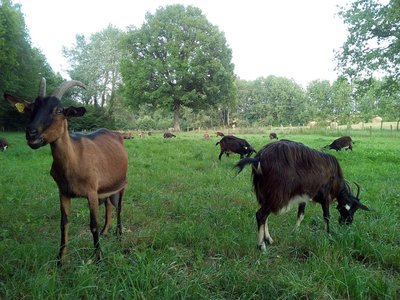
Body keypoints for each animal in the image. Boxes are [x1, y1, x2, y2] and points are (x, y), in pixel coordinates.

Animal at [3, 78, 128, 264]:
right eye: (31, 108)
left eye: (59, 110)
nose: (31, 133)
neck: (74, 161)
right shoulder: (63, 192)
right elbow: (63, 223)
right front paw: (60, 259)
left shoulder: (91, 192)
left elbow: (93, 224)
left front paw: (98, 258)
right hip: (106, 187)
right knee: (108, 205)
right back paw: (106, 231)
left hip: (123, 182)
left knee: (119, 206)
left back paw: (118, 234)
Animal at [234, 140, 368, 251]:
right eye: (349, 209)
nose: (347, 223)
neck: (335, 179)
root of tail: (258, 159)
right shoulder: (325, 196)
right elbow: (327, 216)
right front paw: (328, 236)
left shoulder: (303, 197)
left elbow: (301, 215)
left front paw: (294, 232)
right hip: (277, 194)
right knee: (261, 215)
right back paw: (261, 246)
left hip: (265, 193)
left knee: (264, 216)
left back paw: (269, 239)